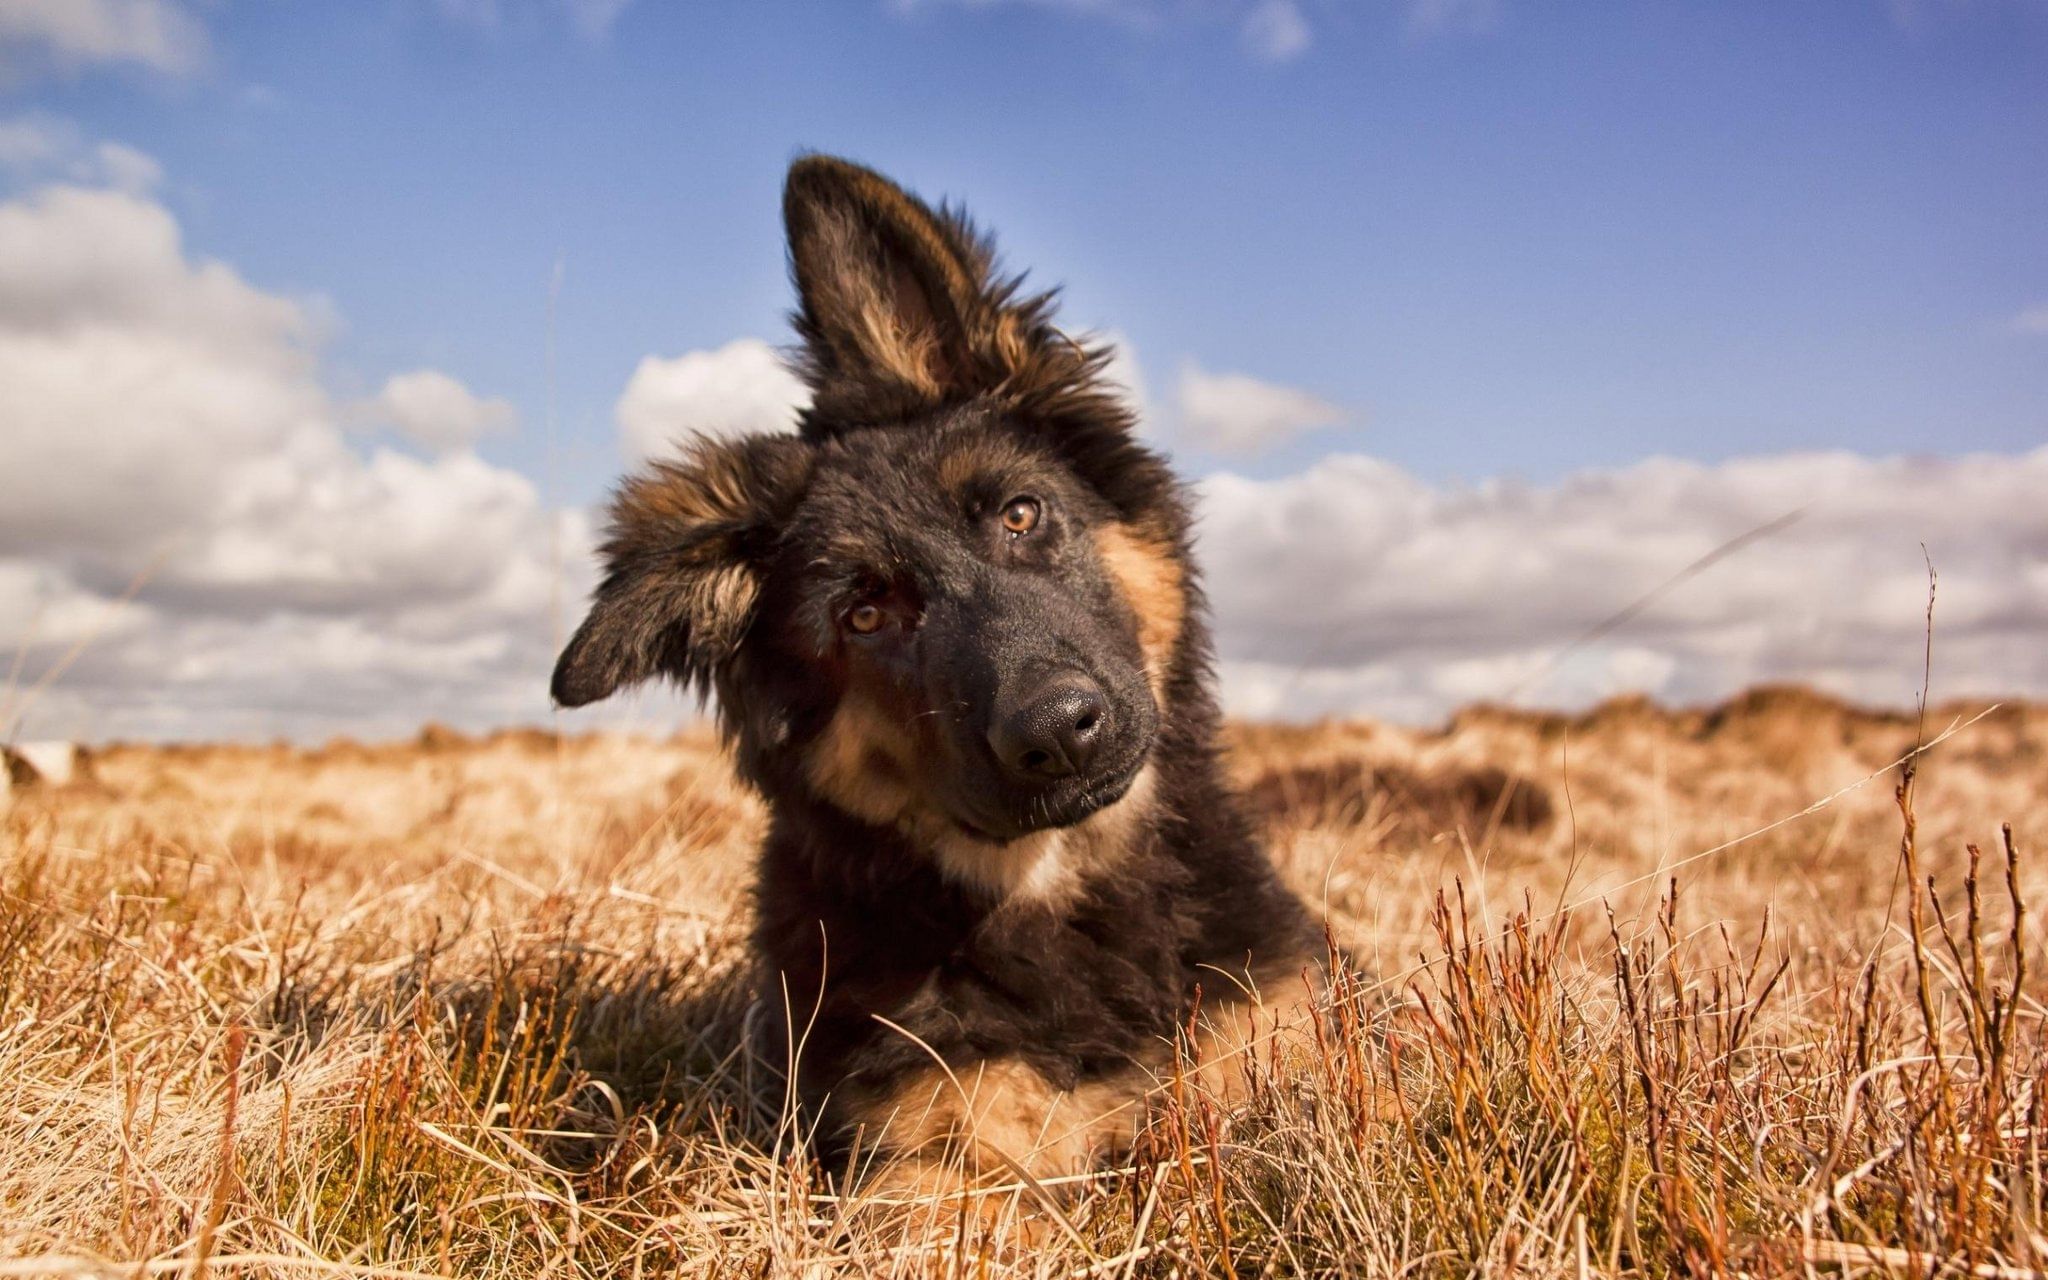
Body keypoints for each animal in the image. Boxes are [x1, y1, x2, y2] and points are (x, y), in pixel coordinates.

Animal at [557, 154, 1327, 1196]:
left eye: (1019, 513)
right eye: (863, 615)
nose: (1058, 730)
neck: (1059, 894)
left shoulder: (1284, 1020)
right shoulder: (939, 1152)